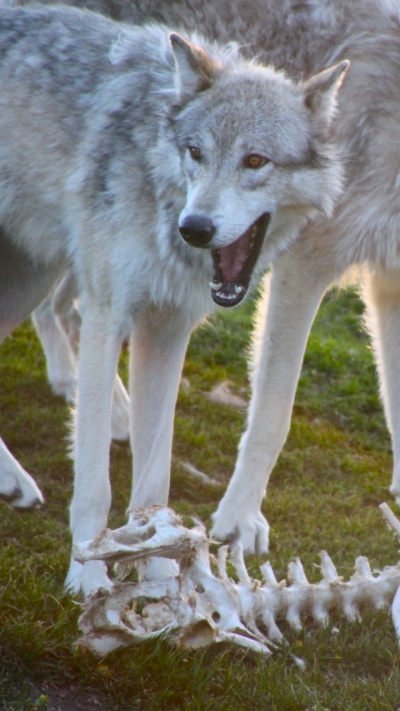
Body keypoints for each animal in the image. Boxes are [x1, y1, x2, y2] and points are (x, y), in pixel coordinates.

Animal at [0, 5, 347, 593]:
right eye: (196, 153)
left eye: (256, 161)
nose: (196, 228)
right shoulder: (105, 318)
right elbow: (95, 485)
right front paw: (88, 577)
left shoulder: (165, 332)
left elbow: (154, 479)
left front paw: (160, 575)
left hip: (32, 280)